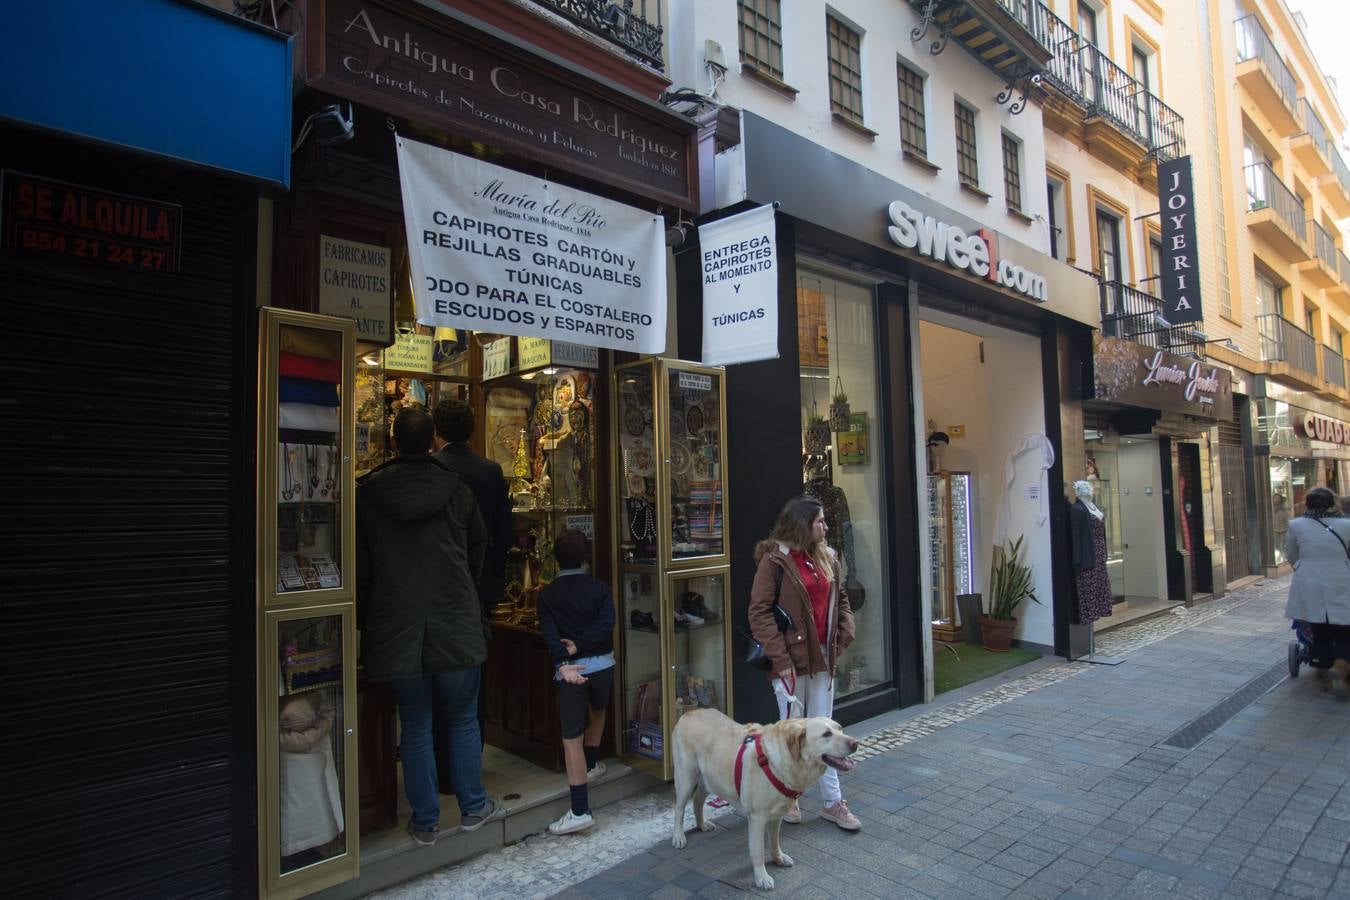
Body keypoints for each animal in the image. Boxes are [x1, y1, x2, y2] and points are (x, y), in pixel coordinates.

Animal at [669, 712, 858, 895]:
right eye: (826, 734)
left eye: (840, 728)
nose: (855, 743)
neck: (776, 763)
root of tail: (688, 713)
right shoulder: (757, 818)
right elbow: (758, 851)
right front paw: (761, 877)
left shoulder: (777, 815)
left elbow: (774, 841)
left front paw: (778, 859)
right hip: (686, 777)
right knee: (679, 809)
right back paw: (678, 837)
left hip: (710, 779)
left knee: (698, 800)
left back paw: (701, 824)